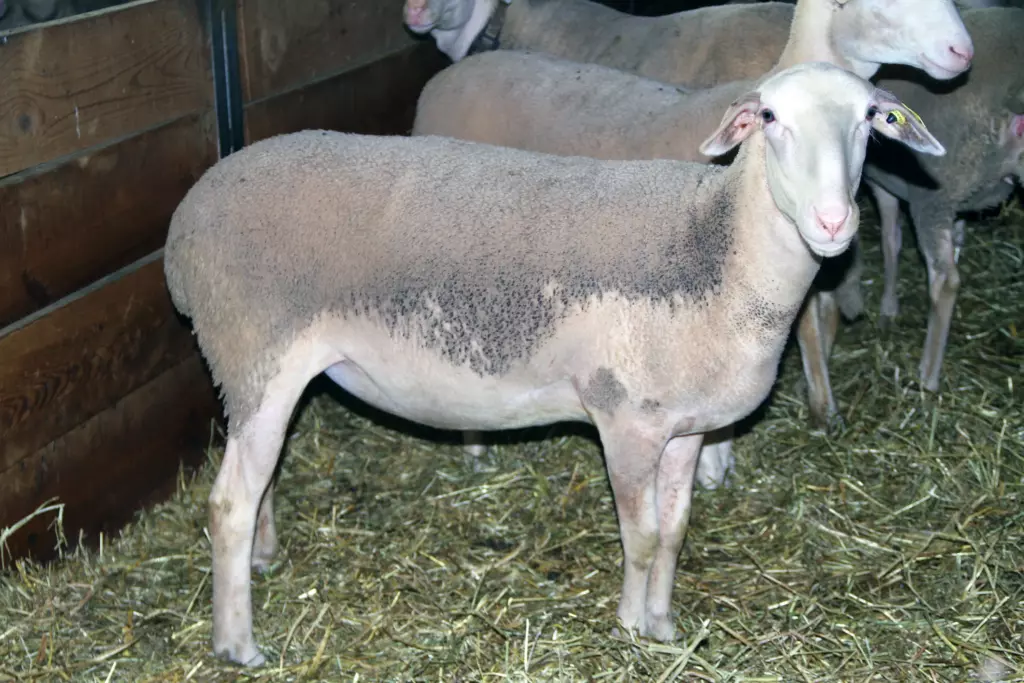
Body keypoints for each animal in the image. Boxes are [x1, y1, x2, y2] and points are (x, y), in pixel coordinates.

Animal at [163, 62, 945, 666]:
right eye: (772, 117)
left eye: (871, 119)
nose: (833, 222)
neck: (714, 250)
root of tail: (183, 226)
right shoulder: (625, 419)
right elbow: (643, 535)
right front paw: (630, 626)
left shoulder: (686, 428)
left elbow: (676, 530)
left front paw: (664, 626)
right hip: (256, 353)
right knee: (228, 503)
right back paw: (238, 644)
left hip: (257, 376)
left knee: (259, 484)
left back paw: (264, 559)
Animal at [793, 7, 1024, 425]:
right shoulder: (951, 200)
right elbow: (917, 239)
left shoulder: (897, 188)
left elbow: (890, 239)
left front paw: (888, 307)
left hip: (933, 195)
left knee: (946, 281)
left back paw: (927, 375)